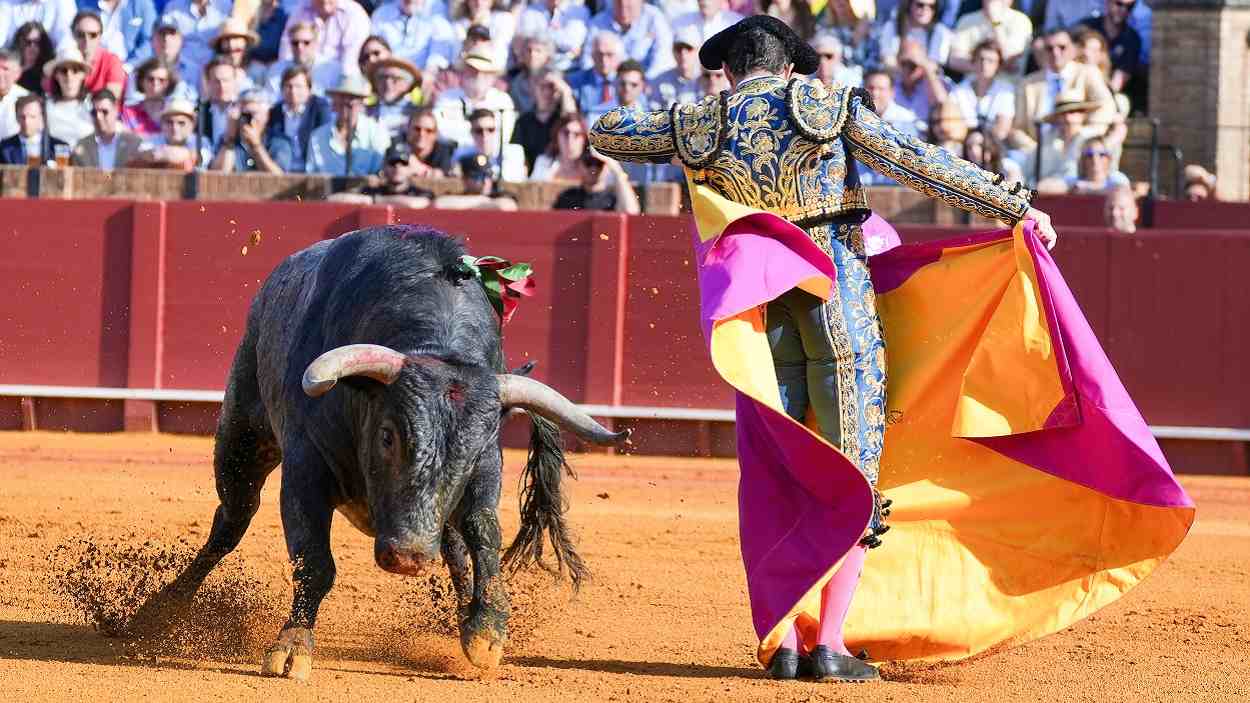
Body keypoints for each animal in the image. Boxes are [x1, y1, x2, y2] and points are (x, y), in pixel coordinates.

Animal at [131, 223, 630, 675]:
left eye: (471, 450)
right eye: (388, 435)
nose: (408, 556)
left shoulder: (485, 469)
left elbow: (484, 533)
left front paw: (485, 632)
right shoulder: (305, 470)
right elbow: (314, 561)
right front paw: (292, 648)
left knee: (454, 547)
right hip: (243, 437)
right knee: (231, 520)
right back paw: (158, 611)